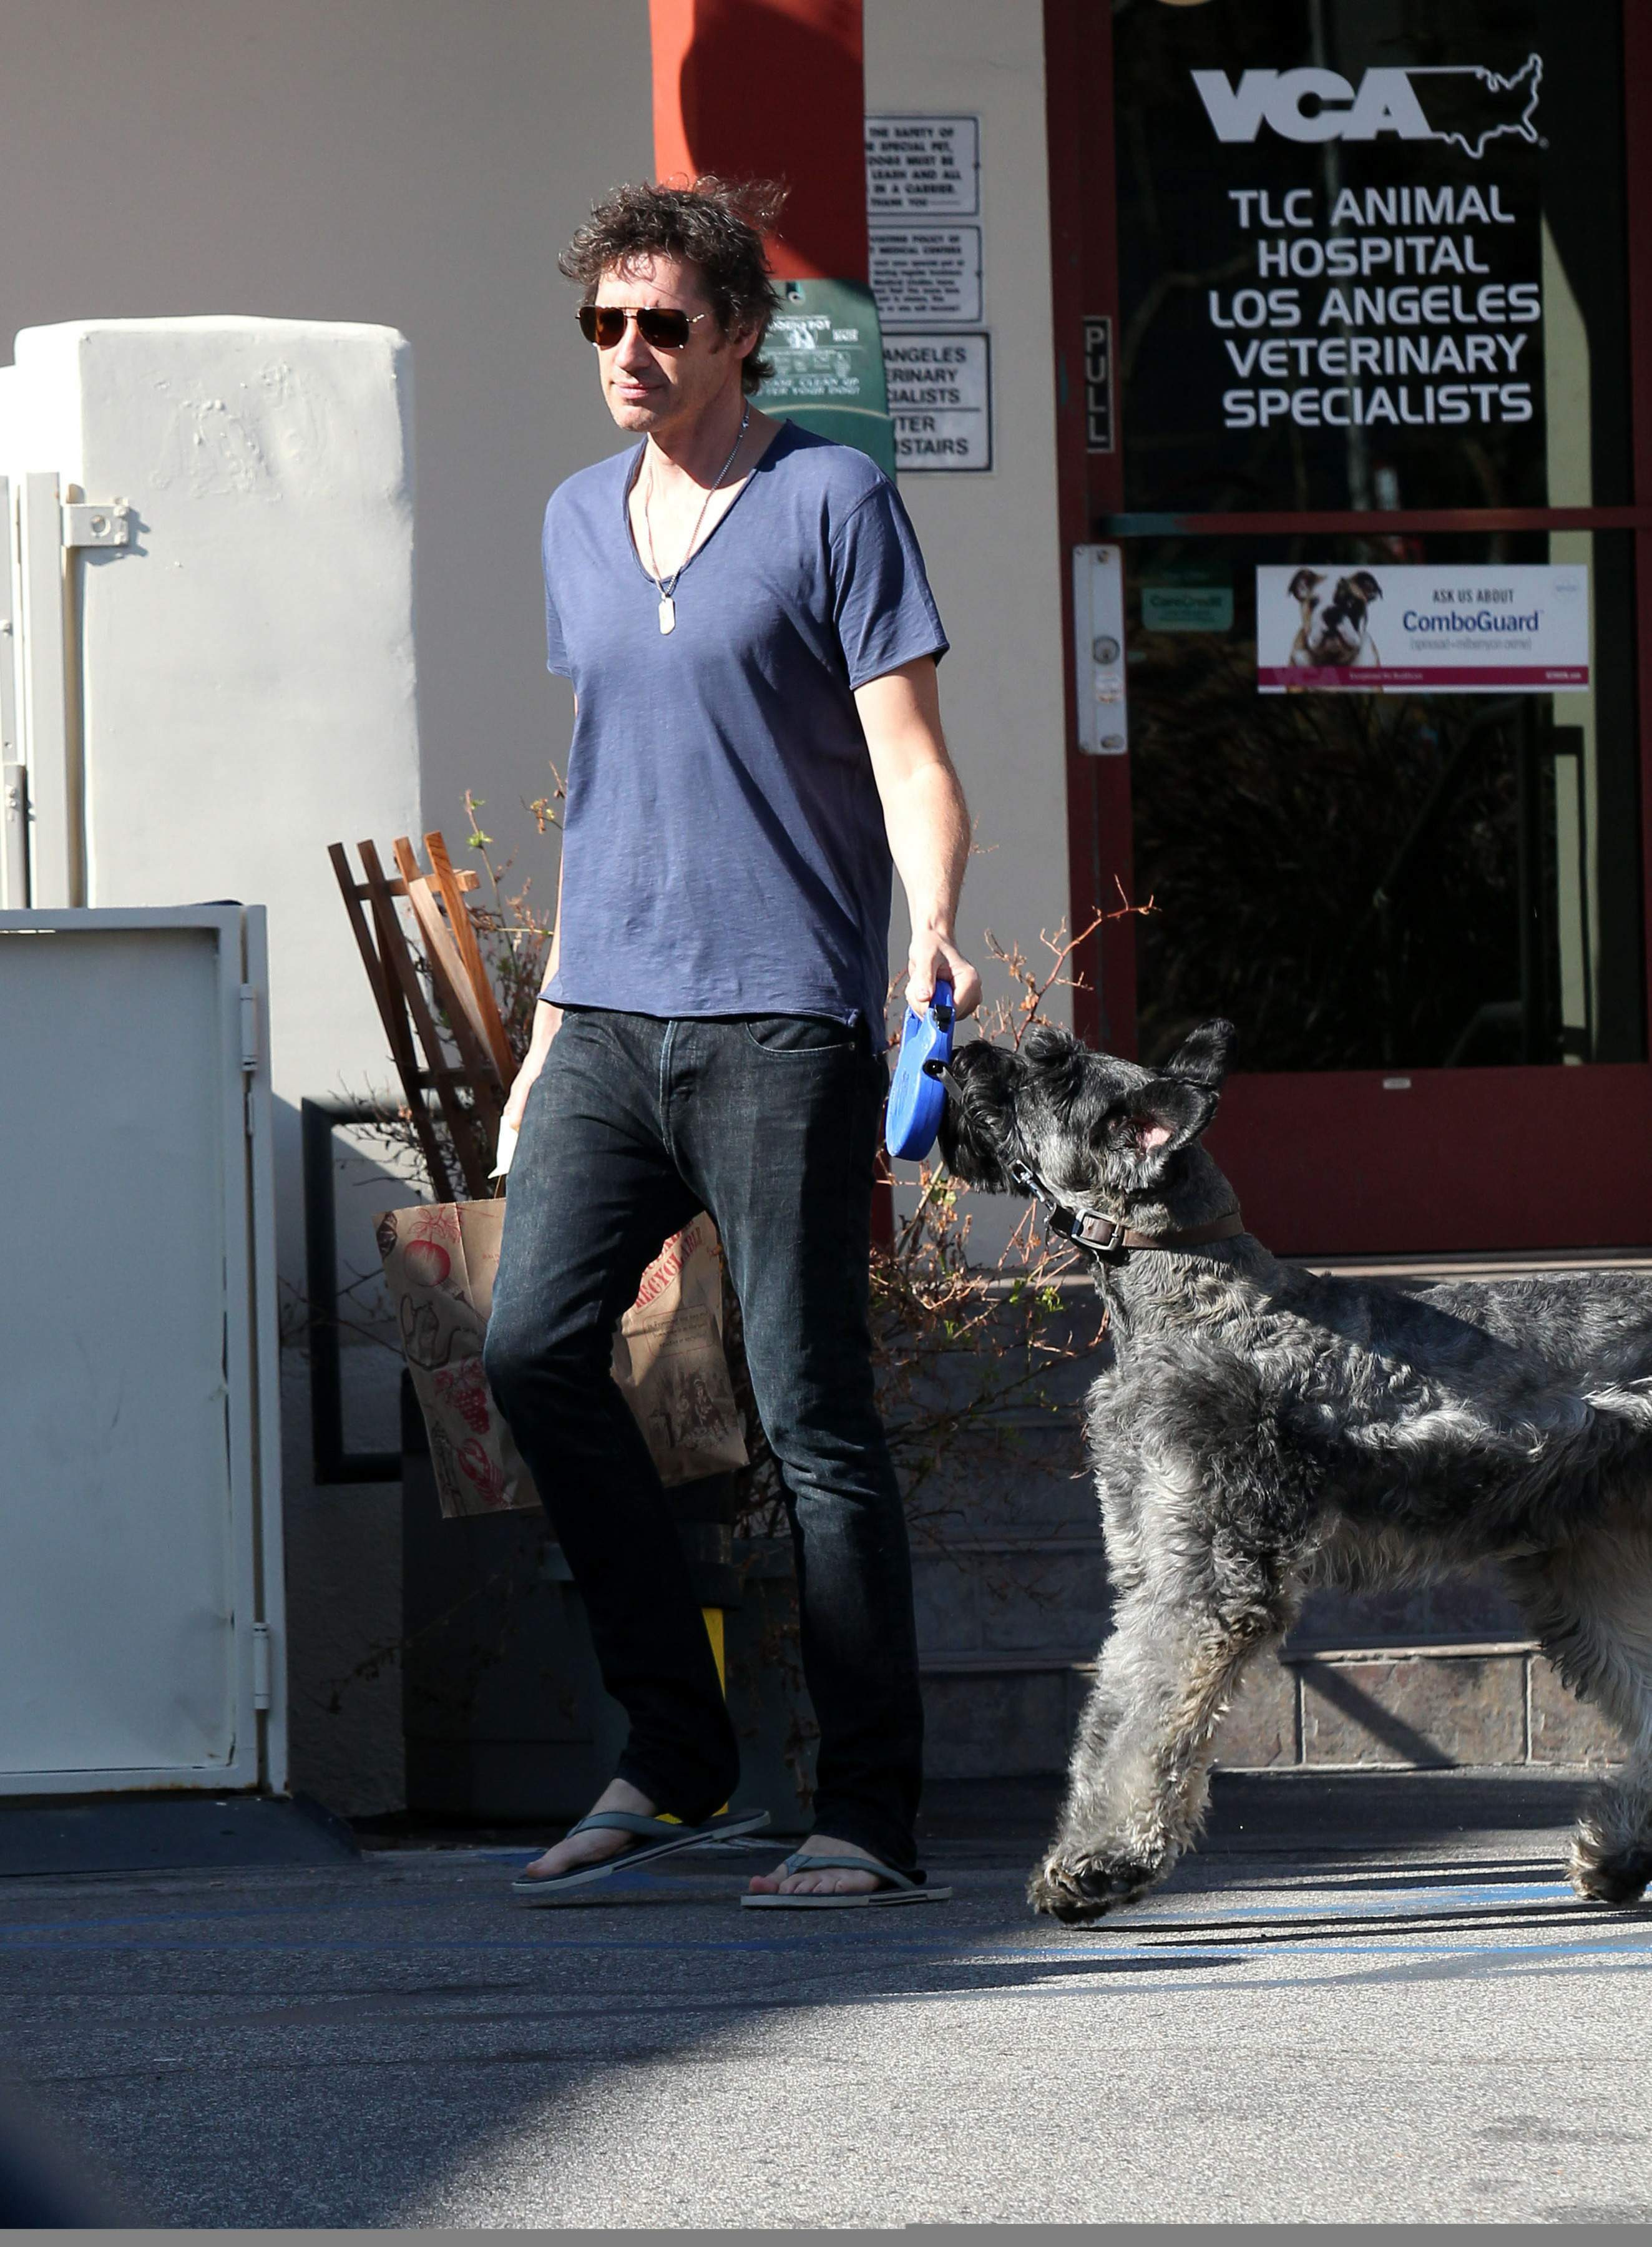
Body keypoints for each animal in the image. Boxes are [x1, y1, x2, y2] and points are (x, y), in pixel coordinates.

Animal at [939, 1019, 1652, 1924]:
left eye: (1052, 1066)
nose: (953, 1056)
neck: (1194, 1300)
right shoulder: (1152, 1566)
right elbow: (1119, 1703)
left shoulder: (1206, 1583)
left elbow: (1143, 1715)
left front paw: (1099, 1866)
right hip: (1587, 1571)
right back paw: (1623, 1853)